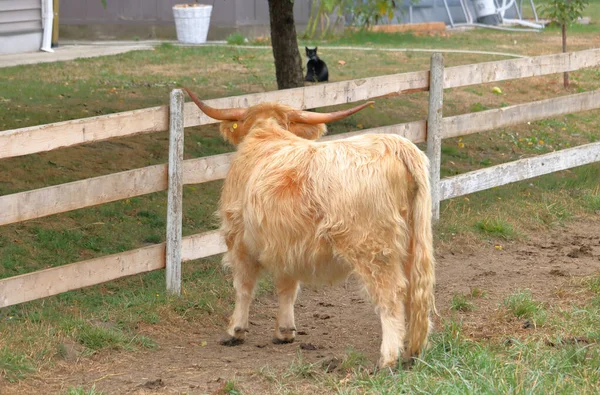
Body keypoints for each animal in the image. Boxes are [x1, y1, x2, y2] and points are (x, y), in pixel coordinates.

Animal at [185, 88, 434, 370]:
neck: (266, 135)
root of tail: (394, 144)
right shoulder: (285, 244)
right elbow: (287, 287)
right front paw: (284, 331)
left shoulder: (239, 240)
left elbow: (244, 286)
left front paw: (235, 330)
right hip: (415, 241)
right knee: (416, 292)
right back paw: (414, 350)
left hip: (373, 248)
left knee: (391, 294)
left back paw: (388, 358)